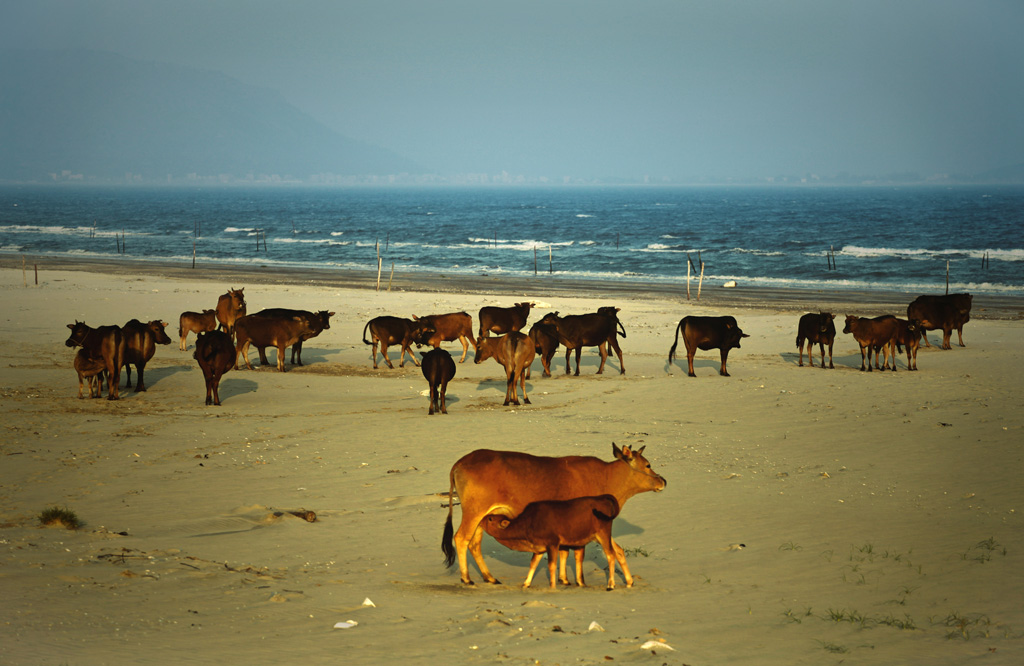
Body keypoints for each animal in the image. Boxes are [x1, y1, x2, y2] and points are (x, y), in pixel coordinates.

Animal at [479, 491, 630, 586]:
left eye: (490, 518)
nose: (479, 521)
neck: (528, 522)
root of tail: (602, 498)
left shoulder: (552, 543)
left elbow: (551, 565)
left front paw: (552, 586)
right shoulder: (539, 548)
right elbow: (533, 564)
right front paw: (526, 583)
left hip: (603, 533)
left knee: (611, 555)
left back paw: (610, 584)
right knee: (617, 552)